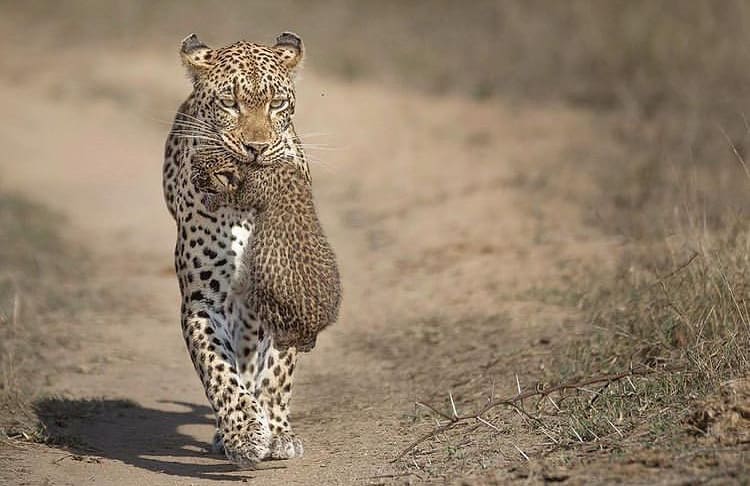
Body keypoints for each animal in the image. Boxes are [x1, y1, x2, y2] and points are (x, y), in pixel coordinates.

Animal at [163, 31, 316, 468]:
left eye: (277, 104)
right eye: (229, 103)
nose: (256, 148)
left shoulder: (284, 292)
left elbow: (278, 371)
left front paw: (277, 432)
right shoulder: (202, 302)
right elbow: (217, 368)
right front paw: (245, 432)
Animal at [189, 150, 342, 352]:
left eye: (200, 171)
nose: (192, 180)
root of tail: (316, 325)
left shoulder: (248, 194)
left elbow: (229, 195)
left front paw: (211, 201)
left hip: (262, 299)